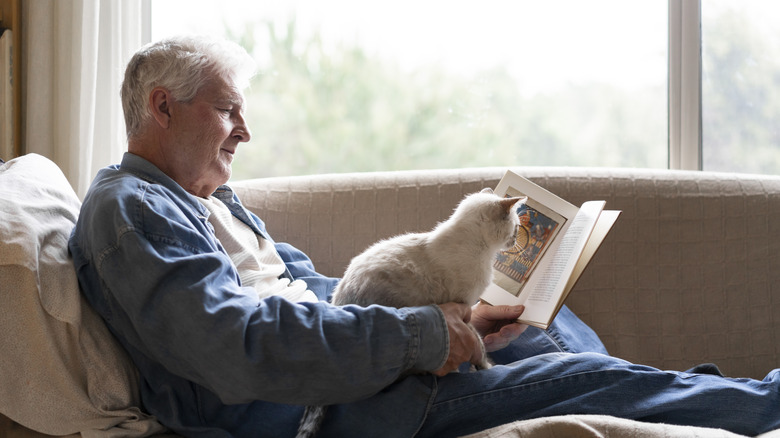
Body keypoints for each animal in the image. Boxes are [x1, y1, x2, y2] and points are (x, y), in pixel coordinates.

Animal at [298, 189, 524, 438]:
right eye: (516, 227)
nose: (515, 240)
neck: (481, 250)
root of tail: (338, 304)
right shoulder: (462, 308)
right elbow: (478, 345)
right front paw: (484, 367)